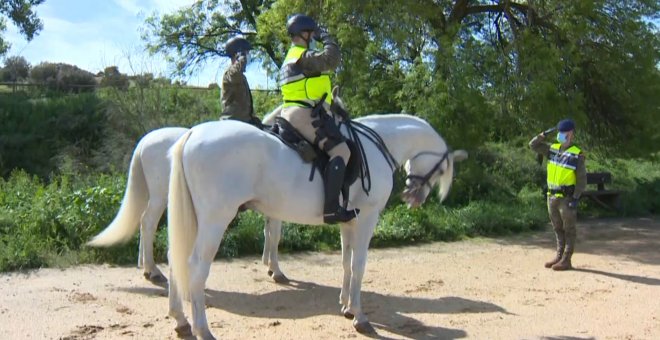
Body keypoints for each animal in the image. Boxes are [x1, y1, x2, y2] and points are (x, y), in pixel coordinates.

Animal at [168, 113, 466, 338]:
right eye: (442, 169)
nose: (414, 197)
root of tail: (192, 134)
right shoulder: (367, 218)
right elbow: (359, 265)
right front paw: (360, 317)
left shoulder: (349, 222)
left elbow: (347, 263)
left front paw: (346, 306)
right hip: (215, 220)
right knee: (196, 267)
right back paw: (203, 329)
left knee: (175, 259)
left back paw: (181, 320)